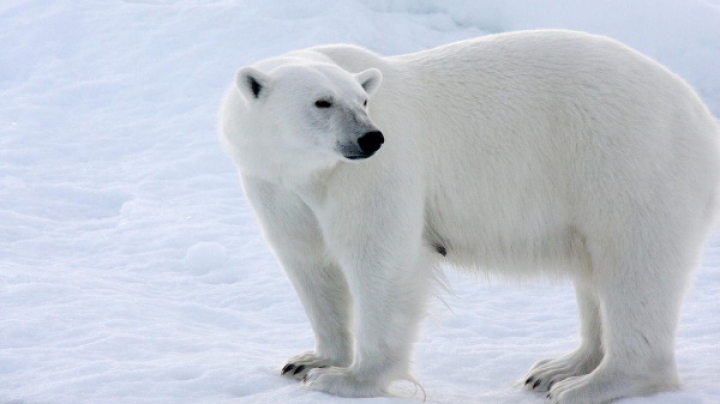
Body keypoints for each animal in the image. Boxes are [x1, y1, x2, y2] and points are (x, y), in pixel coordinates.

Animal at [219, 29, 720, 404]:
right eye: (322, 102)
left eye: (362, 101)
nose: (371, 138)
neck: (310, 170)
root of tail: (700, 114)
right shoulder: (275, 185)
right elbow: (309, 263)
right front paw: (310, 360)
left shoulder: (375, 174)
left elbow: (381, 259)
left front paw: (349, 379)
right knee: (595, 270)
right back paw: (556, 368)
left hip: (630, 162)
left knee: (634, 267)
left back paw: (591, 384)